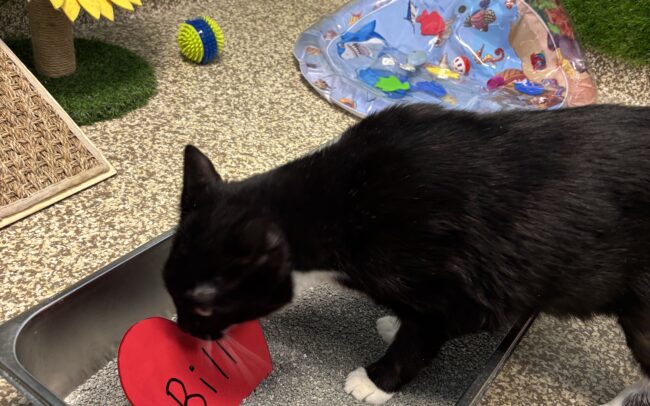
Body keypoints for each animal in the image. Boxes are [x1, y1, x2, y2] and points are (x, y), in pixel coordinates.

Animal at [164, 103, 650, 405]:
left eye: (204, 306)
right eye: (169, 288)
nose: (185, 328)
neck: (339, 203)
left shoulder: (462, 297)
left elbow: (422, 337)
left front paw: (375, 381)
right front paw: (395, 321)